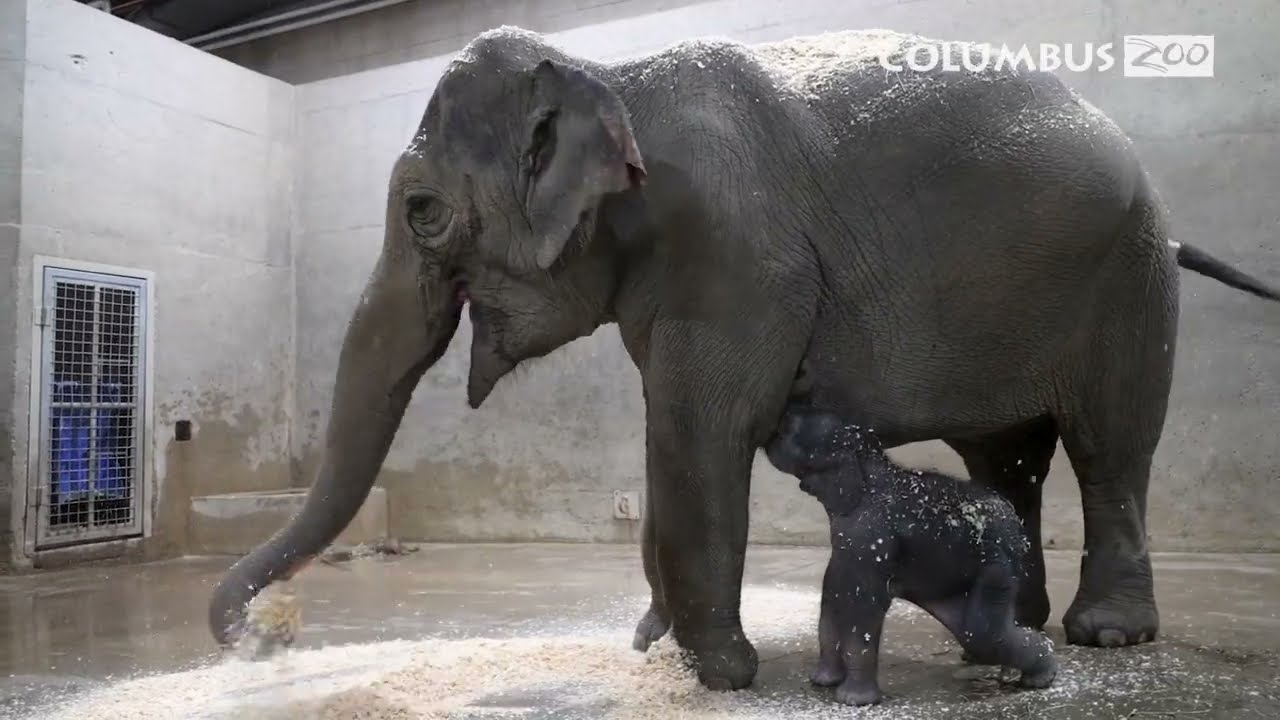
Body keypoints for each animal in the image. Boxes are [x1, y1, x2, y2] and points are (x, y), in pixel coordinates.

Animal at [208, 26, 1280, 692]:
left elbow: (701, 431)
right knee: (1004, 456)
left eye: (424, 212)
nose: (252, 638)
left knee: (1112, 448)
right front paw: (655, 650)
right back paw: (997, 634)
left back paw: (1106, 634)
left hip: (1129, 278)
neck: (610, 71)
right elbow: (670, 430)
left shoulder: (737, 252)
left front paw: (720, 673)